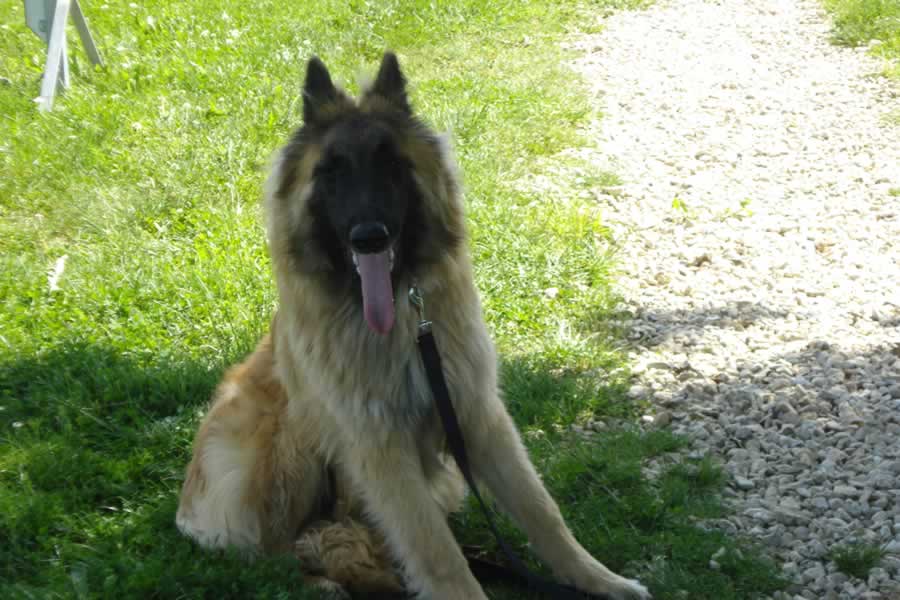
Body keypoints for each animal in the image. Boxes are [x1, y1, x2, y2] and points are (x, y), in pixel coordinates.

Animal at [176, 52, 650, 600]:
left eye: (390, 164)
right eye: (331, 172)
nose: (369, 237)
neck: (404, 320)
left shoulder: (476, 413)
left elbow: (542, 510)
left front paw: (600, 580)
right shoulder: (379, 446)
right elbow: (435, 548)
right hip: (288, 439)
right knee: (276, 551)